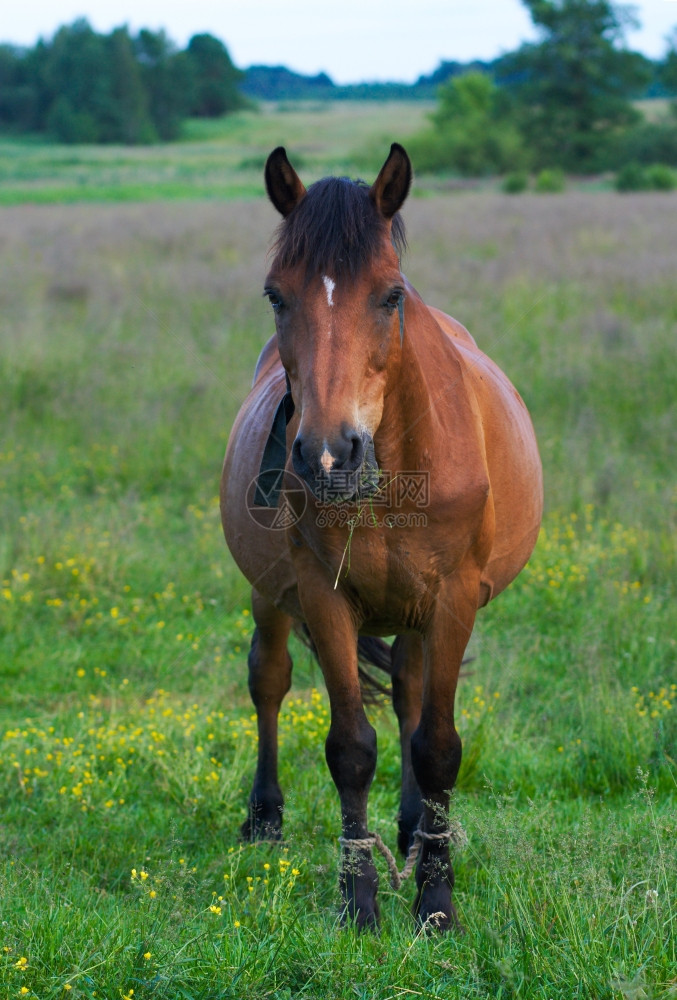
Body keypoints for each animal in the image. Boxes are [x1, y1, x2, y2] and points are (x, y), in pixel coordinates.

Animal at [219, 145, 540, 932]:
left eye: (391, 296)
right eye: (276, 296)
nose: (329, 455)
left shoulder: (453, 599)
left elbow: (438, 747)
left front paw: (435, 900)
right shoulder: (323, 596)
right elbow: (350, 749)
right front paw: (358, 900)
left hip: (420, 614)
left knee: (410, 697)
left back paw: (414, 830)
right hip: (270, 595)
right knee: (269, 679)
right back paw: (265, 817)